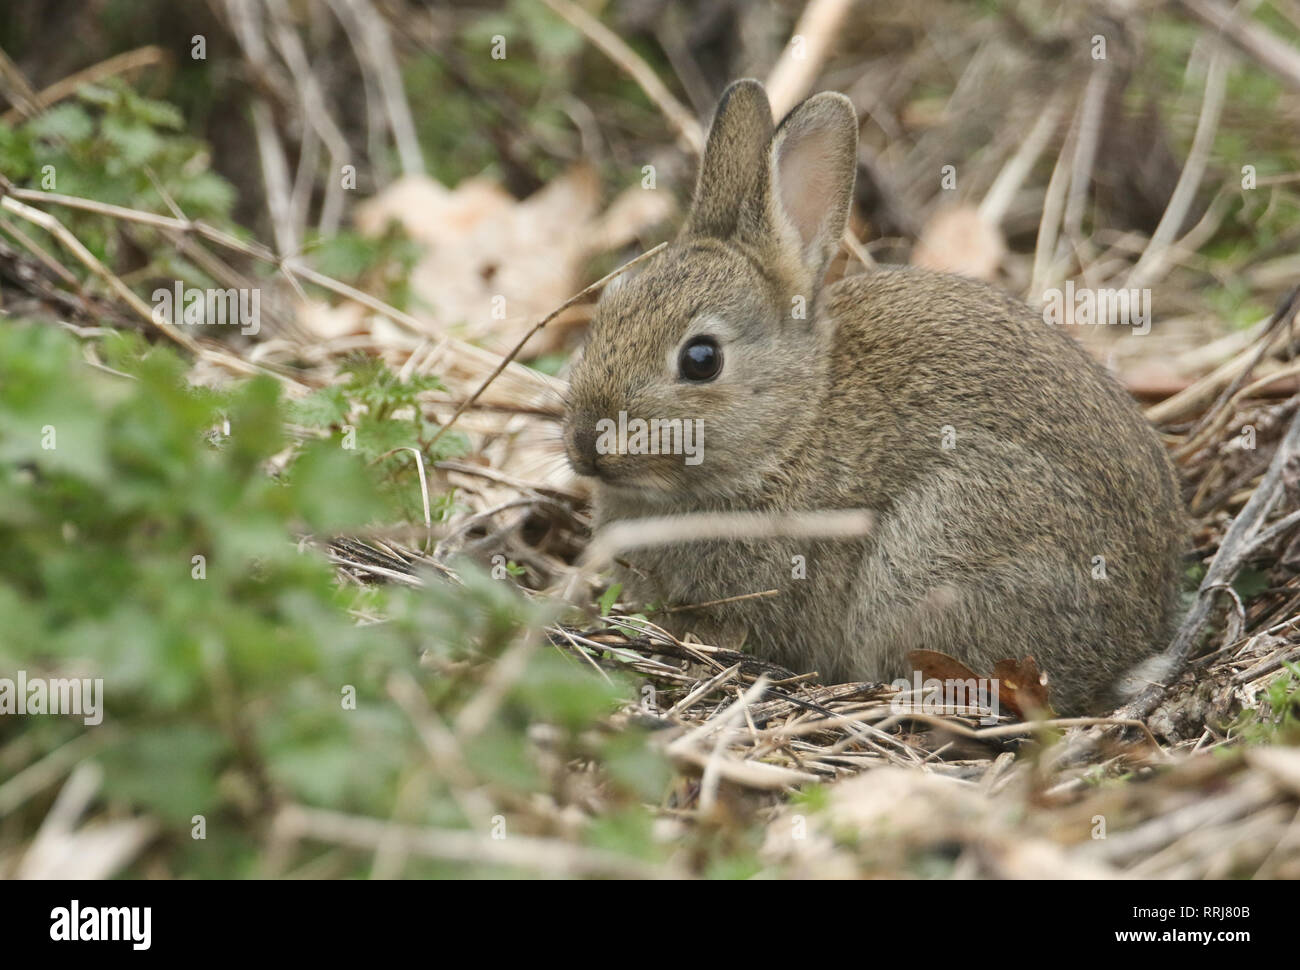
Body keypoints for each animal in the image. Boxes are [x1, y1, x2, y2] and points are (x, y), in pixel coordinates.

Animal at [561, 79, 1190, 712]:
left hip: (939, 552)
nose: (586, 443)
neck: (792, 432)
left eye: (701, 360)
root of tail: (1136, 640)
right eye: (608, 308)